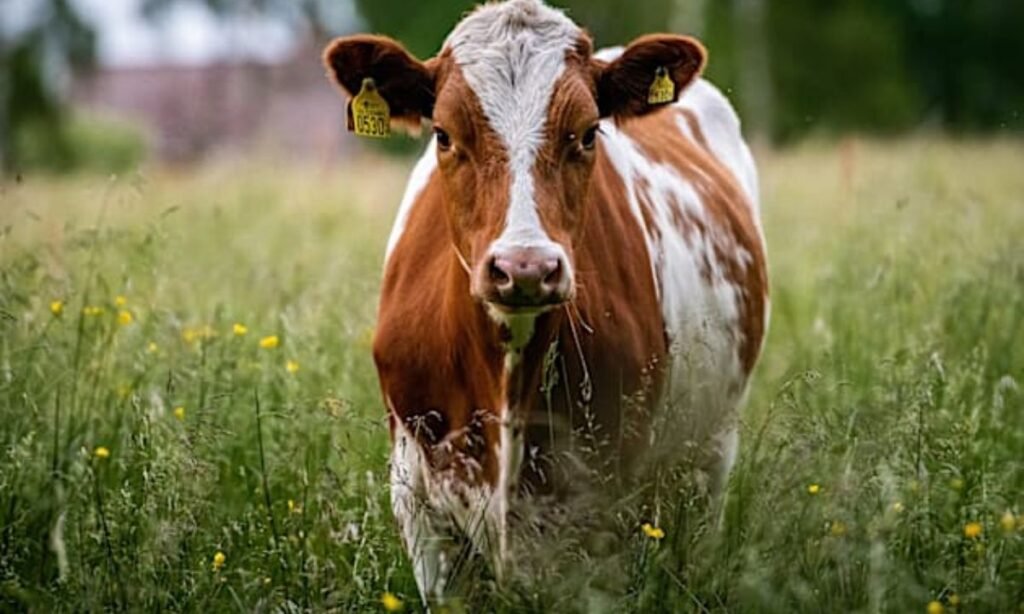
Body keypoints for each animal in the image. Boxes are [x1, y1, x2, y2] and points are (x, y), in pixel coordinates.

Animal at [323, 0, 768, 603]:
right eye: (443, 134)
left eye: (587, 133)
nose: (525, 267)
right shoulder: (421, 509)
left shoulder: (603, 511)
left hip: (709, 455)